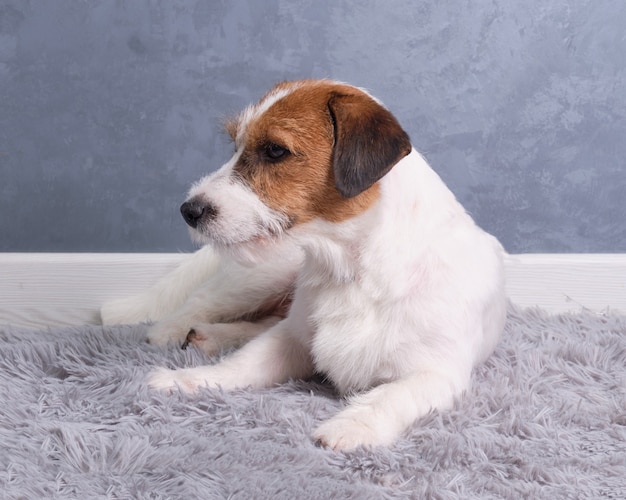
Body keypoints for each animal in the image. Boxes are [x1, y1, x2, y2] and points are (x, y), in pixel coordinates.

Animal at [100, 80, 504, 452]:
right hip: (262, 276)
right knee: (203, 303)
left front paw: (351, 426)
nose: (189, 210)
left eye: (275, 150)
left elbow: (392, 396)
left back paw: (210, 336)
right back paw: (171, 331)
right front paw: (189, 380)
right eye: (235, 146)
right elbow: (242, 364)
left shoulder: (437, 374)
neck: (352, 268)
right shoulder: (291, 340)